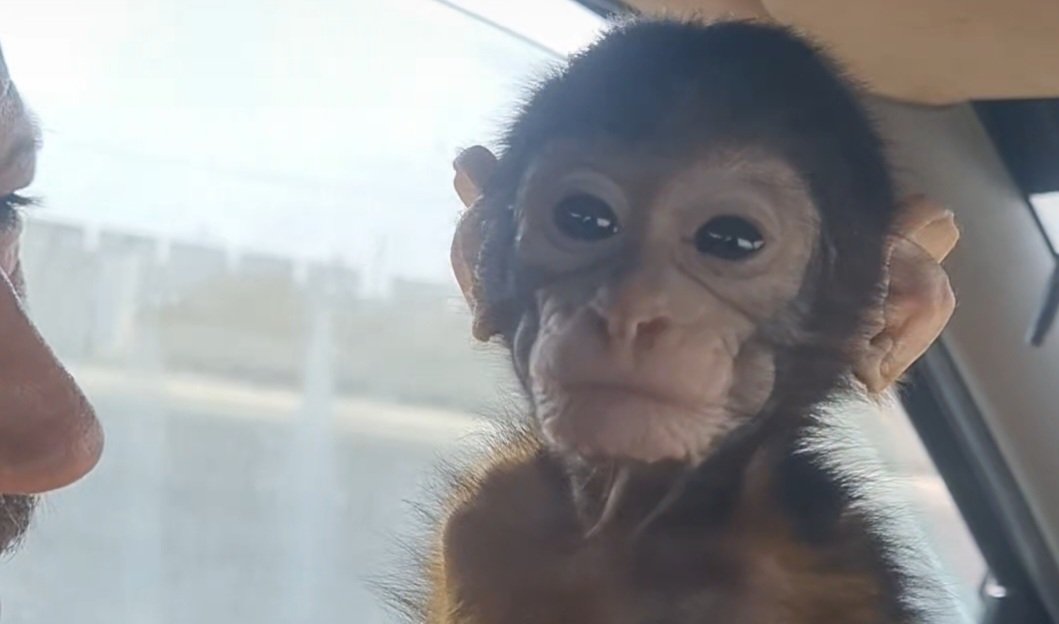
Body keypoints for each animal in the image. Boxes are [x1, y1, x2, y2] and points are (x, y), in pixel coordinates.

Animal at [400, 17, 960, 624]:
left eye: (732, 240)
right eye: (584, 219)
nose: (629, 310)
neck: (635, 533)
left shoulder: (832, 575)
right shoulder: (486, 513)